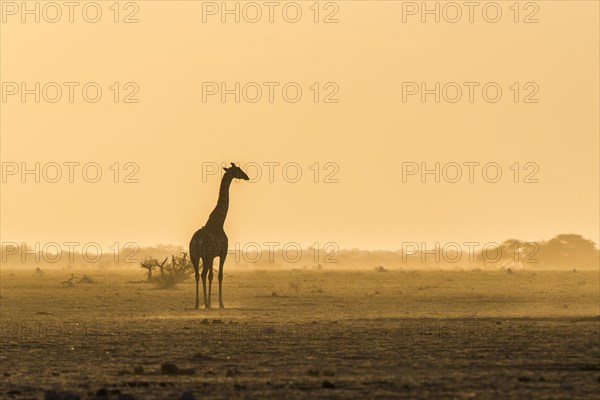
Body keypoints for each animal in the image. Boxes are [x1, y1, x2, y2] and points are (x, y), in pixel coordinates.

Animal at [190, 162, 251, 310]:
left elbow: (211, 276)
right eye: (237, 170)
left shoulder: (212, 256)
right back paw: (205, 304)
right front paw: (220, 303)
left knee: (197, 275)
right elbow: (219, 276)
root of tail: (196, 240)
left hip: (194, 255)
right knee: (203, 274)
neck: (219, 222)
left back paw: (197, 304)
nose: (247, 176)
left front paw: (211, 302)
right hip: (205, 256)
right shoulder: (223, 253)